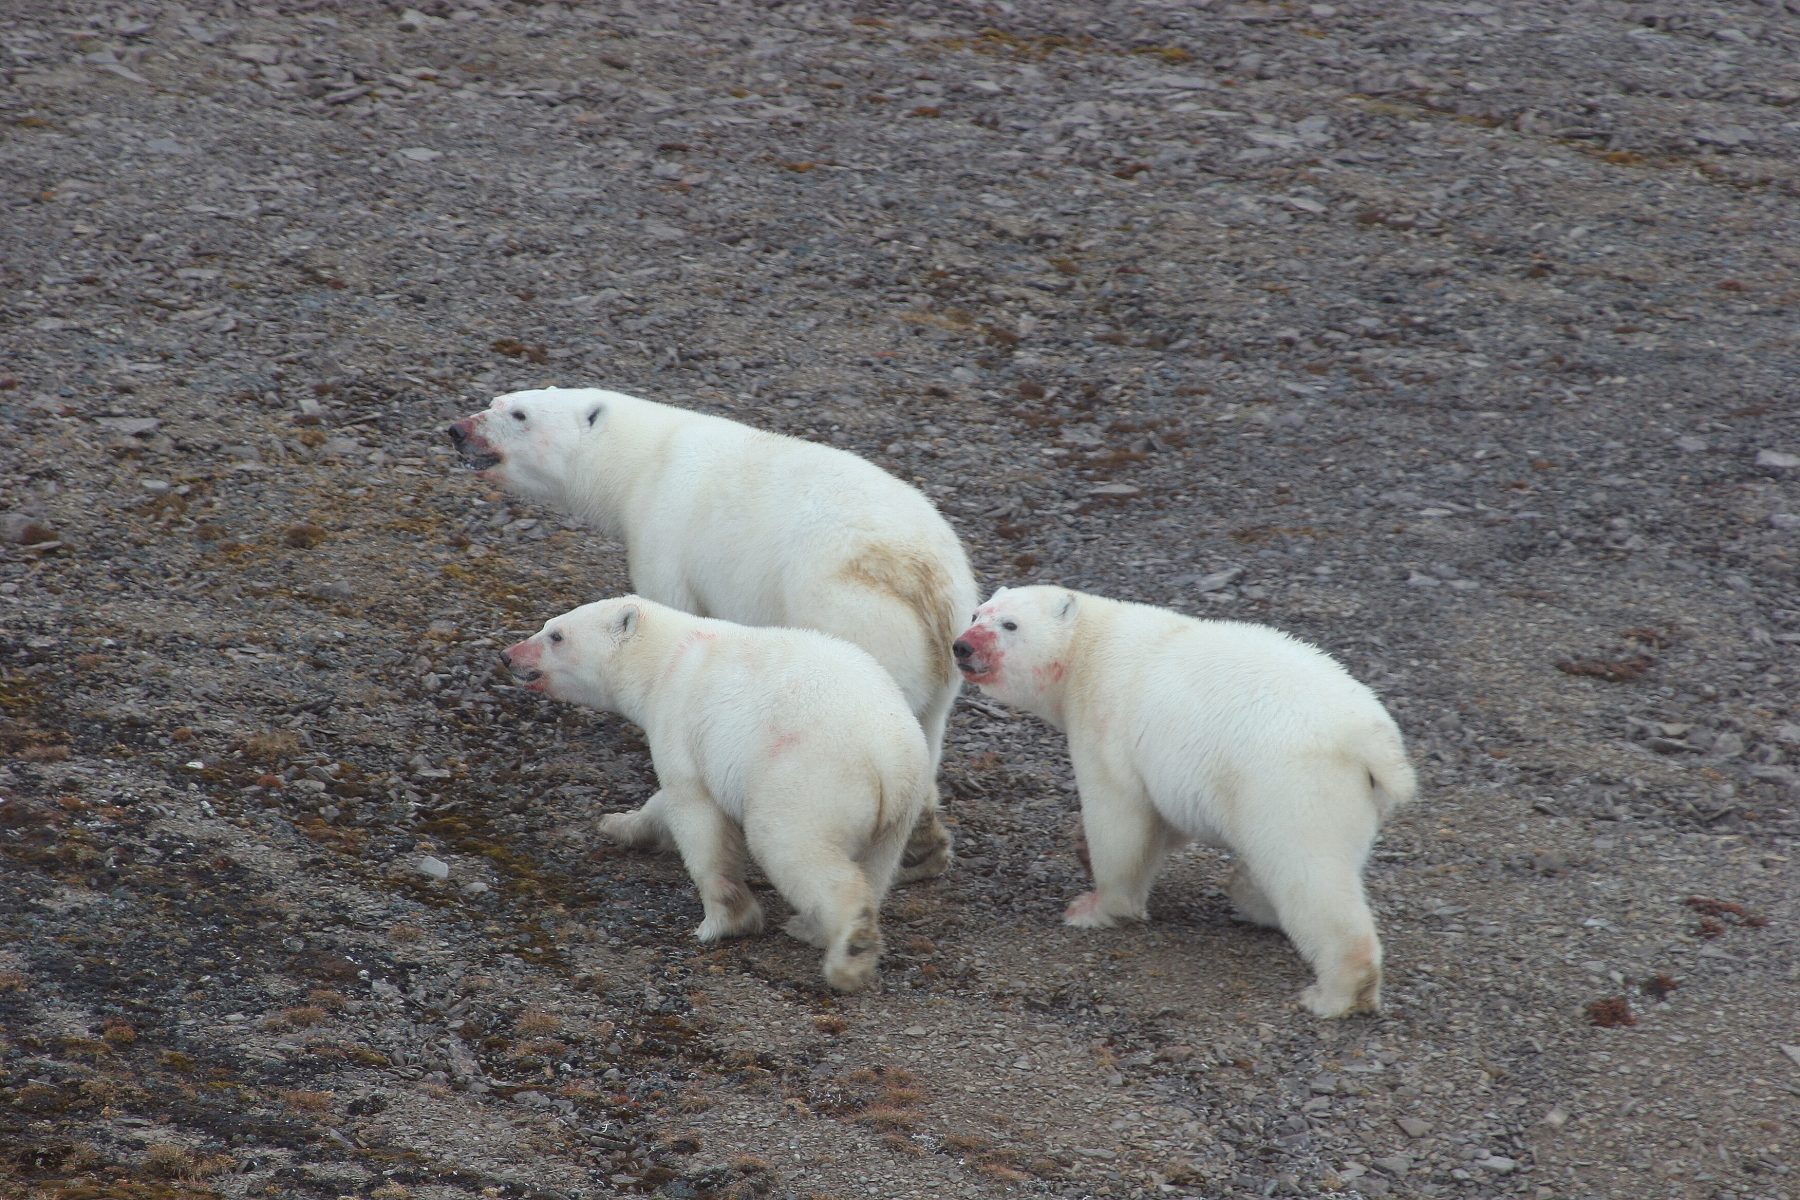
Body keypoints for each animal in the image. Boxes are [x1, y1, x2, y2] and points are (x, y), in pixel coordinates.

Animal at [451, 386, 976, 883]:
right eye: (496, 400)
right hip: (944, 656)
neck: (645, 459)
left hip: (856, 616)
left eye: (519, 414)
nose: (458, 430)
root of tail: (926, 580)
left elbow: (671, 610)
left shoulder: (664, 533)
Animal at [501, 595, 930, 993]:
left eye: (556, 634)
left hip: (808, 778)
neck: (664, 660)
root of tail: (887, 757)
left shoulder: (679, 718)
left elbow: (696, 813)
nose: (508, 656)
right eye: (548, 625)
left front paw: (723, 921)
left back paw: (848, 951)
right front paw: (618, 823)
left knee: (789, 846)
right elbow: (663, 802)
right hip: (898, 813)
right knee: (875, 867)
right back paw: (814, 928)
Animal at [952, 586, 1417, 1018]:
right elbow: (1164, 820)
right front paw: (1084, 852)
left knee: (1310, 874)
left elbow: (1120, 817)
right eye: (976, 614)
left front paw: (1094, 907)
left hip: (1293, 786)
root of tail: (1373, 743)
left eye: (1010, 624)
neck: (1089, 645)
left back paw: (1332, 995)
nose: (963, 646)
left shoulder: (1106, 719)